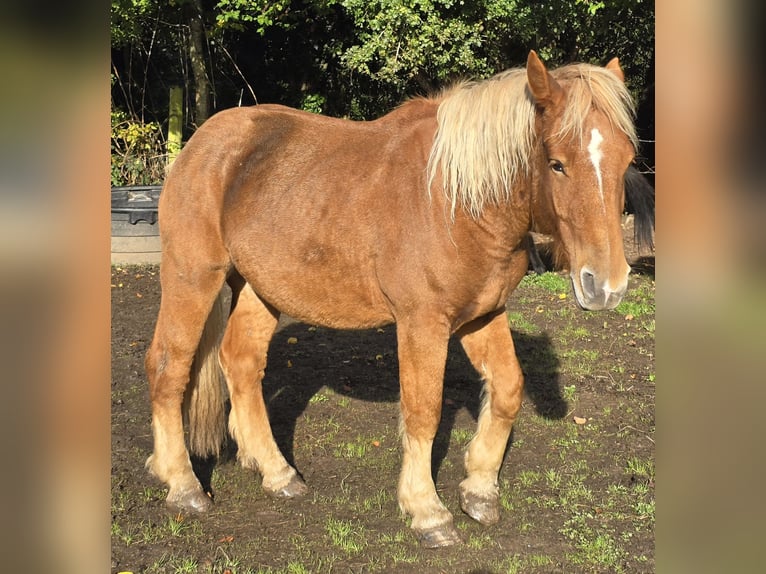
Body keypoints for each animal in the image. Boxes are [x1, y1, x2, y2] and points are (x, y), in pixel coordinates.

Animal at [146, 50, 656, 548]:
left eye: (627, 160)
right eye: (556, 163)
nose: (606, 287)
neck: (456, 202)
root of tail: (201, 143)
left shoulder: (483, 314)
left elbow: (508, 389)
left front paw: (479, 489)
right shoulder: (422, 323)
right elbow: (423, 411)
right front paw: (427, 511)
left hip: (260, 287)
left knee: (241, 362)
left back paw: (277, 473)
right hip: (193, 277)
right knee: (169, 366)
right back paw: (183, 485)